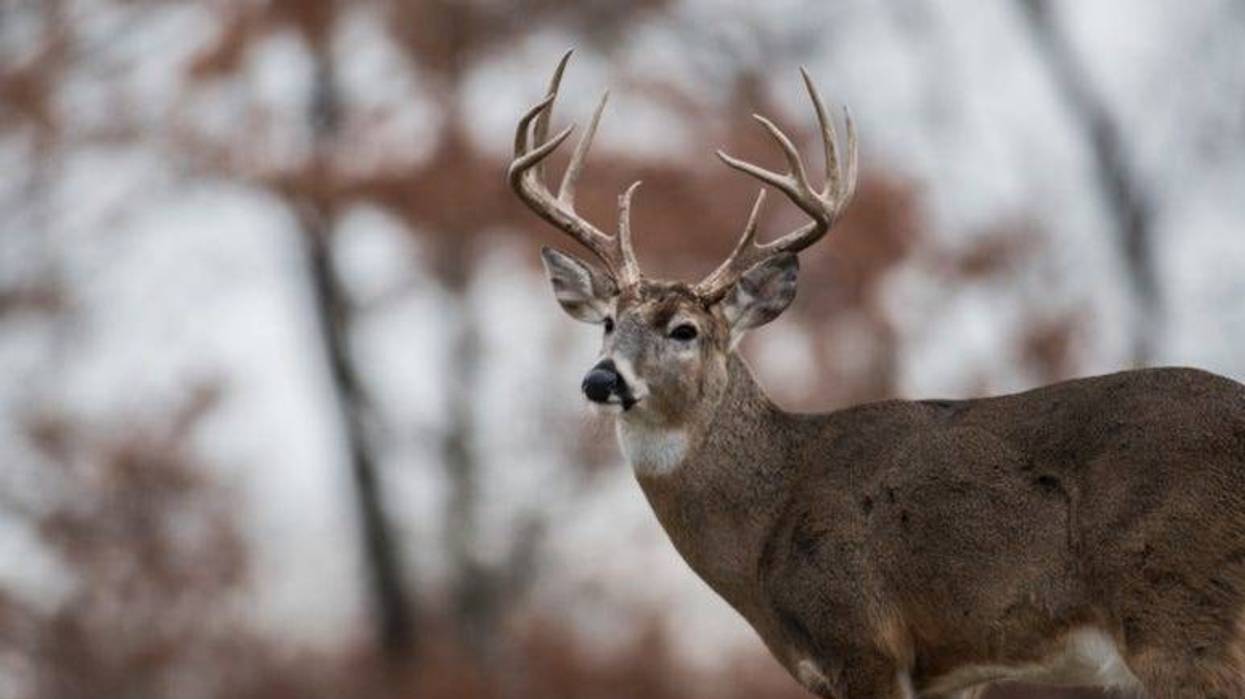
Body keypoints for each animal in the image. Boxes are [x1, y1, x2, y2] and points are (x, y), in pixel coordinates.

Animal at [508, 51, 1245, 699]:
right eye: (607, 322)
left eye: (683, 329)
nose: (601, 380)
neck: (769, 512)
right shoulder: (953, 669)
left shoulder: (861, 640)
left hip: (1180, 615)